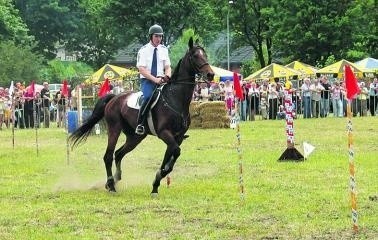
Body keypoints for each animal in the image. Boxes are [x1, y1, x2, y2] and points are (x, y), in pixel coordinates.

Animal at [69, 36, 214, 196]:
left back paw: (114, 179)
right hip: (114, 129)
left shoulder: (178, 137)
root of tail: (114, 98)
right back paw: (111, 185)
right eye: (195, 56)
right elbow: (175, 153)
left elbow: (170, 158)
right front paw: (159, 177)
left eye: (205, 54)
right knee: (108, 156)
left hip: (135, 137)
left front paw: (156, 183)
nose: (211, 75)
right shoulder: (165, 133)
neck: (175, 99)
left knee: (118, 154)